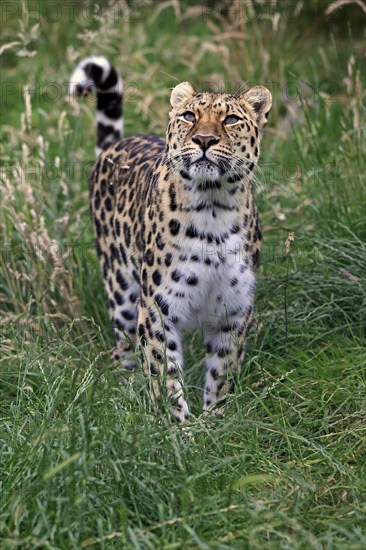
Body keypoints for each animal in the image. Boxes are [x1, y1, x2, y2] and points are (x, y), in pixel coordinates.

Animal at [70, 56, 274, 424]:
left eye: (231, 119)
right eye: (189, 116)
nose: (204, 140)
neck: (213, 209)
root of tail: (115, 146)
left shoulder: (234, 309)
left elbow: (222, 371)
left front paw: (214, 422)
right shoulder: (156, 308)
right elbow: (163, 373)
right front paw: (177, 427)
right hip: (121, 290)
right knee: (123, 348)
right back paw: (127, 391)